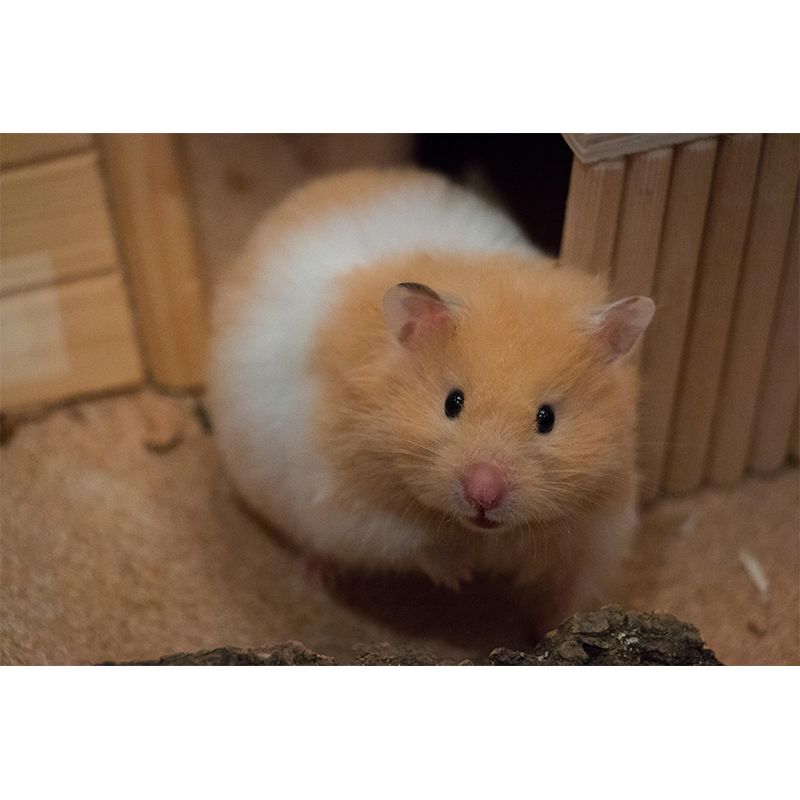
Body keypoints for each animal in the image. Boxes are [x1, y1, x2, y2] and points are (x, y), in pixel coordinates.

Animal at [208, 168, 654, 629]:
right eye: (452, 403)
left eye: (546, 418)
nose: (483, 494)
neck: (480, 531)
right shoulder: (352, 510)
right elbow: (414, 543)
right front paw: (461, 576)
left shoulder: (596, 530)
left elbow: (571, 590)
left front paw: (560, 625)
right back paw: (318, 574)